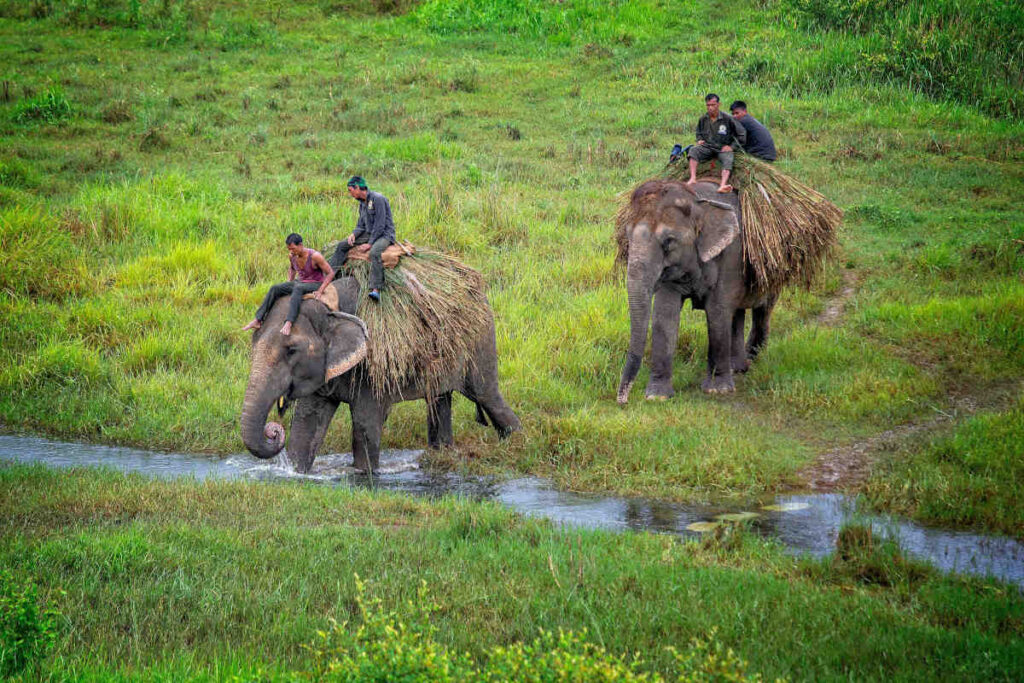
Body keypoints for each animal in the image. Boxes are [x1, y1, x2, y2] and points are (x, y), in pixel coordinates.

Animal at [239, 274, 520, 473]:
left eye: (291, 350)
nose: (273, 430)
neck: (331, 306)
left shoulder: (373, 361)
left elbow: (365, 422)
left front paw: (365, 475)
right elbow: (307, 422)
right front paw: (297, 473)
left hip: (480, 339)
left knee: (486, 396)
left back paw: (516, 442)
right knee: (440, 401)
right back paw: (442, 455)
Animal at [614, 179, 774, 403]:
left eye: (668, 241)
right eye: (627, 237)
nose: (622, 400)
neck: (697, 200)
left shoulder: (731, 253)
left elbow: (717, 312)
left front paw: (717, 390)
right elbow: (664, 315)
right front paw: (657, 396)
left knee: (762, 307)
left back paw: (750, 358)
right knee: (737, 312)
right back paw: (738, 368)